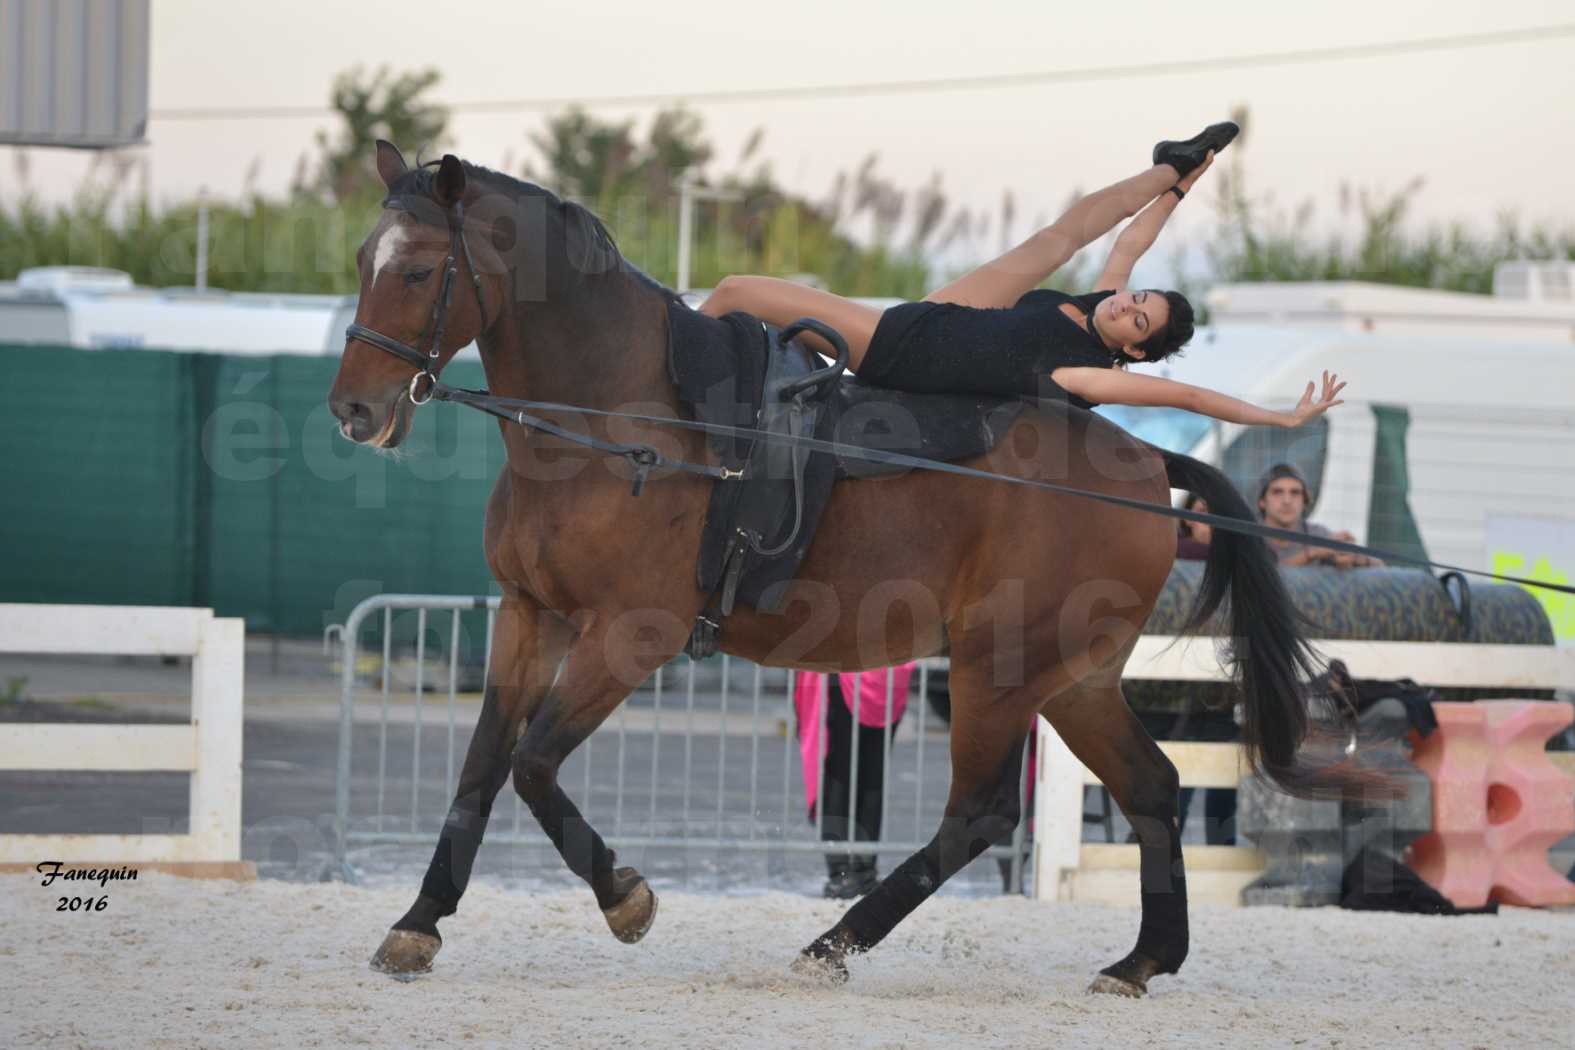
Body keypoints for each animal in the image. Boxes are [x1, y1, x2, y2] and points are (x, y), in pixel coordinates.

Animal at [326, 144, 1348, 1001]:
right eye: (363, 260)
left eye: (418, 270)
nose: (353, 412)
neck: (618, 417)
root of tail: (1143, 462)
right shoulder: (528, 615)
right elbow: (481, 768)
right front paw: (418, 925)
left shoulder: (629, 635)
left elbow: (534, 766)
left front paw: (626, 898)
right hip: (1073, 677)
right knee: (1151, 788)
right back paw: (1140, 960)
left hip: (999, 667)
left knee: (980, 814)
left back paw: (833, 945)